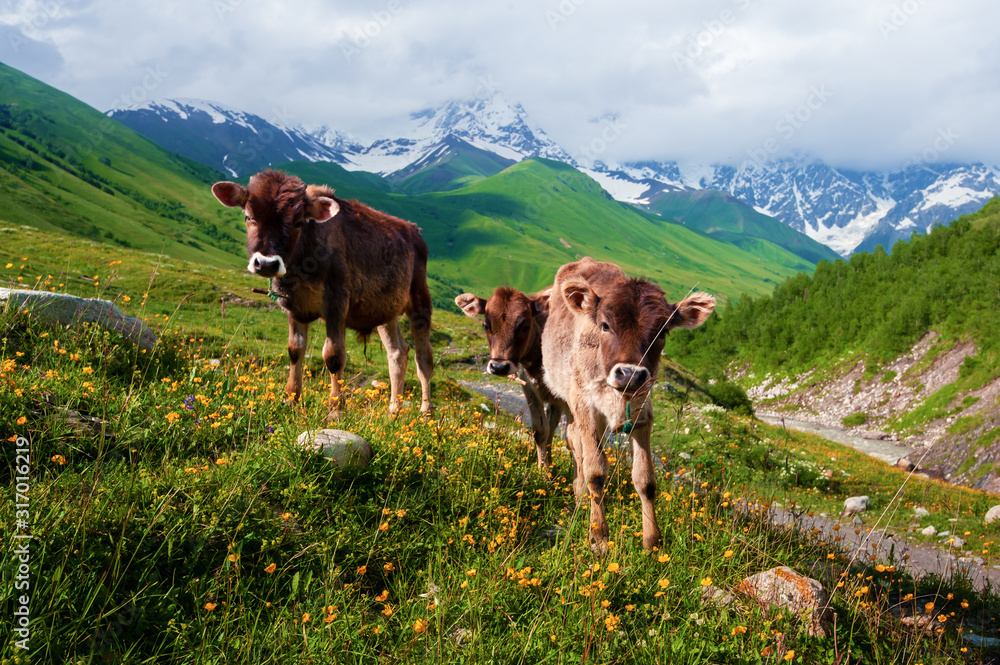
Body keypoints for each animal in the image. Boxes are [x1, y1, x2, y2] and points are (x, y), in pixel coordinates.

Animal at [456, 288, 568, 470]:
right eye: (486, 325)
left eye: (525, 326)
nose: (499, 367)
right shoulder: (529, 386)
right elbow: (540, 430)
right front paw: (543, 470)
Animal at [544, 256, 716, 552]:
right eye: (604, 325)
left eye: (663, 331)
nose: (631, 374)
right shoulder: (585, 406)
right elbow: (595, 471)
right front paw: (599, 537)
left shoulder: (643, 413)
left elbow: (645, 479)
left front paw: (652, 542)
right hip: (570, 399)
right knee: (575, 443)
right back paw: (581, 497)